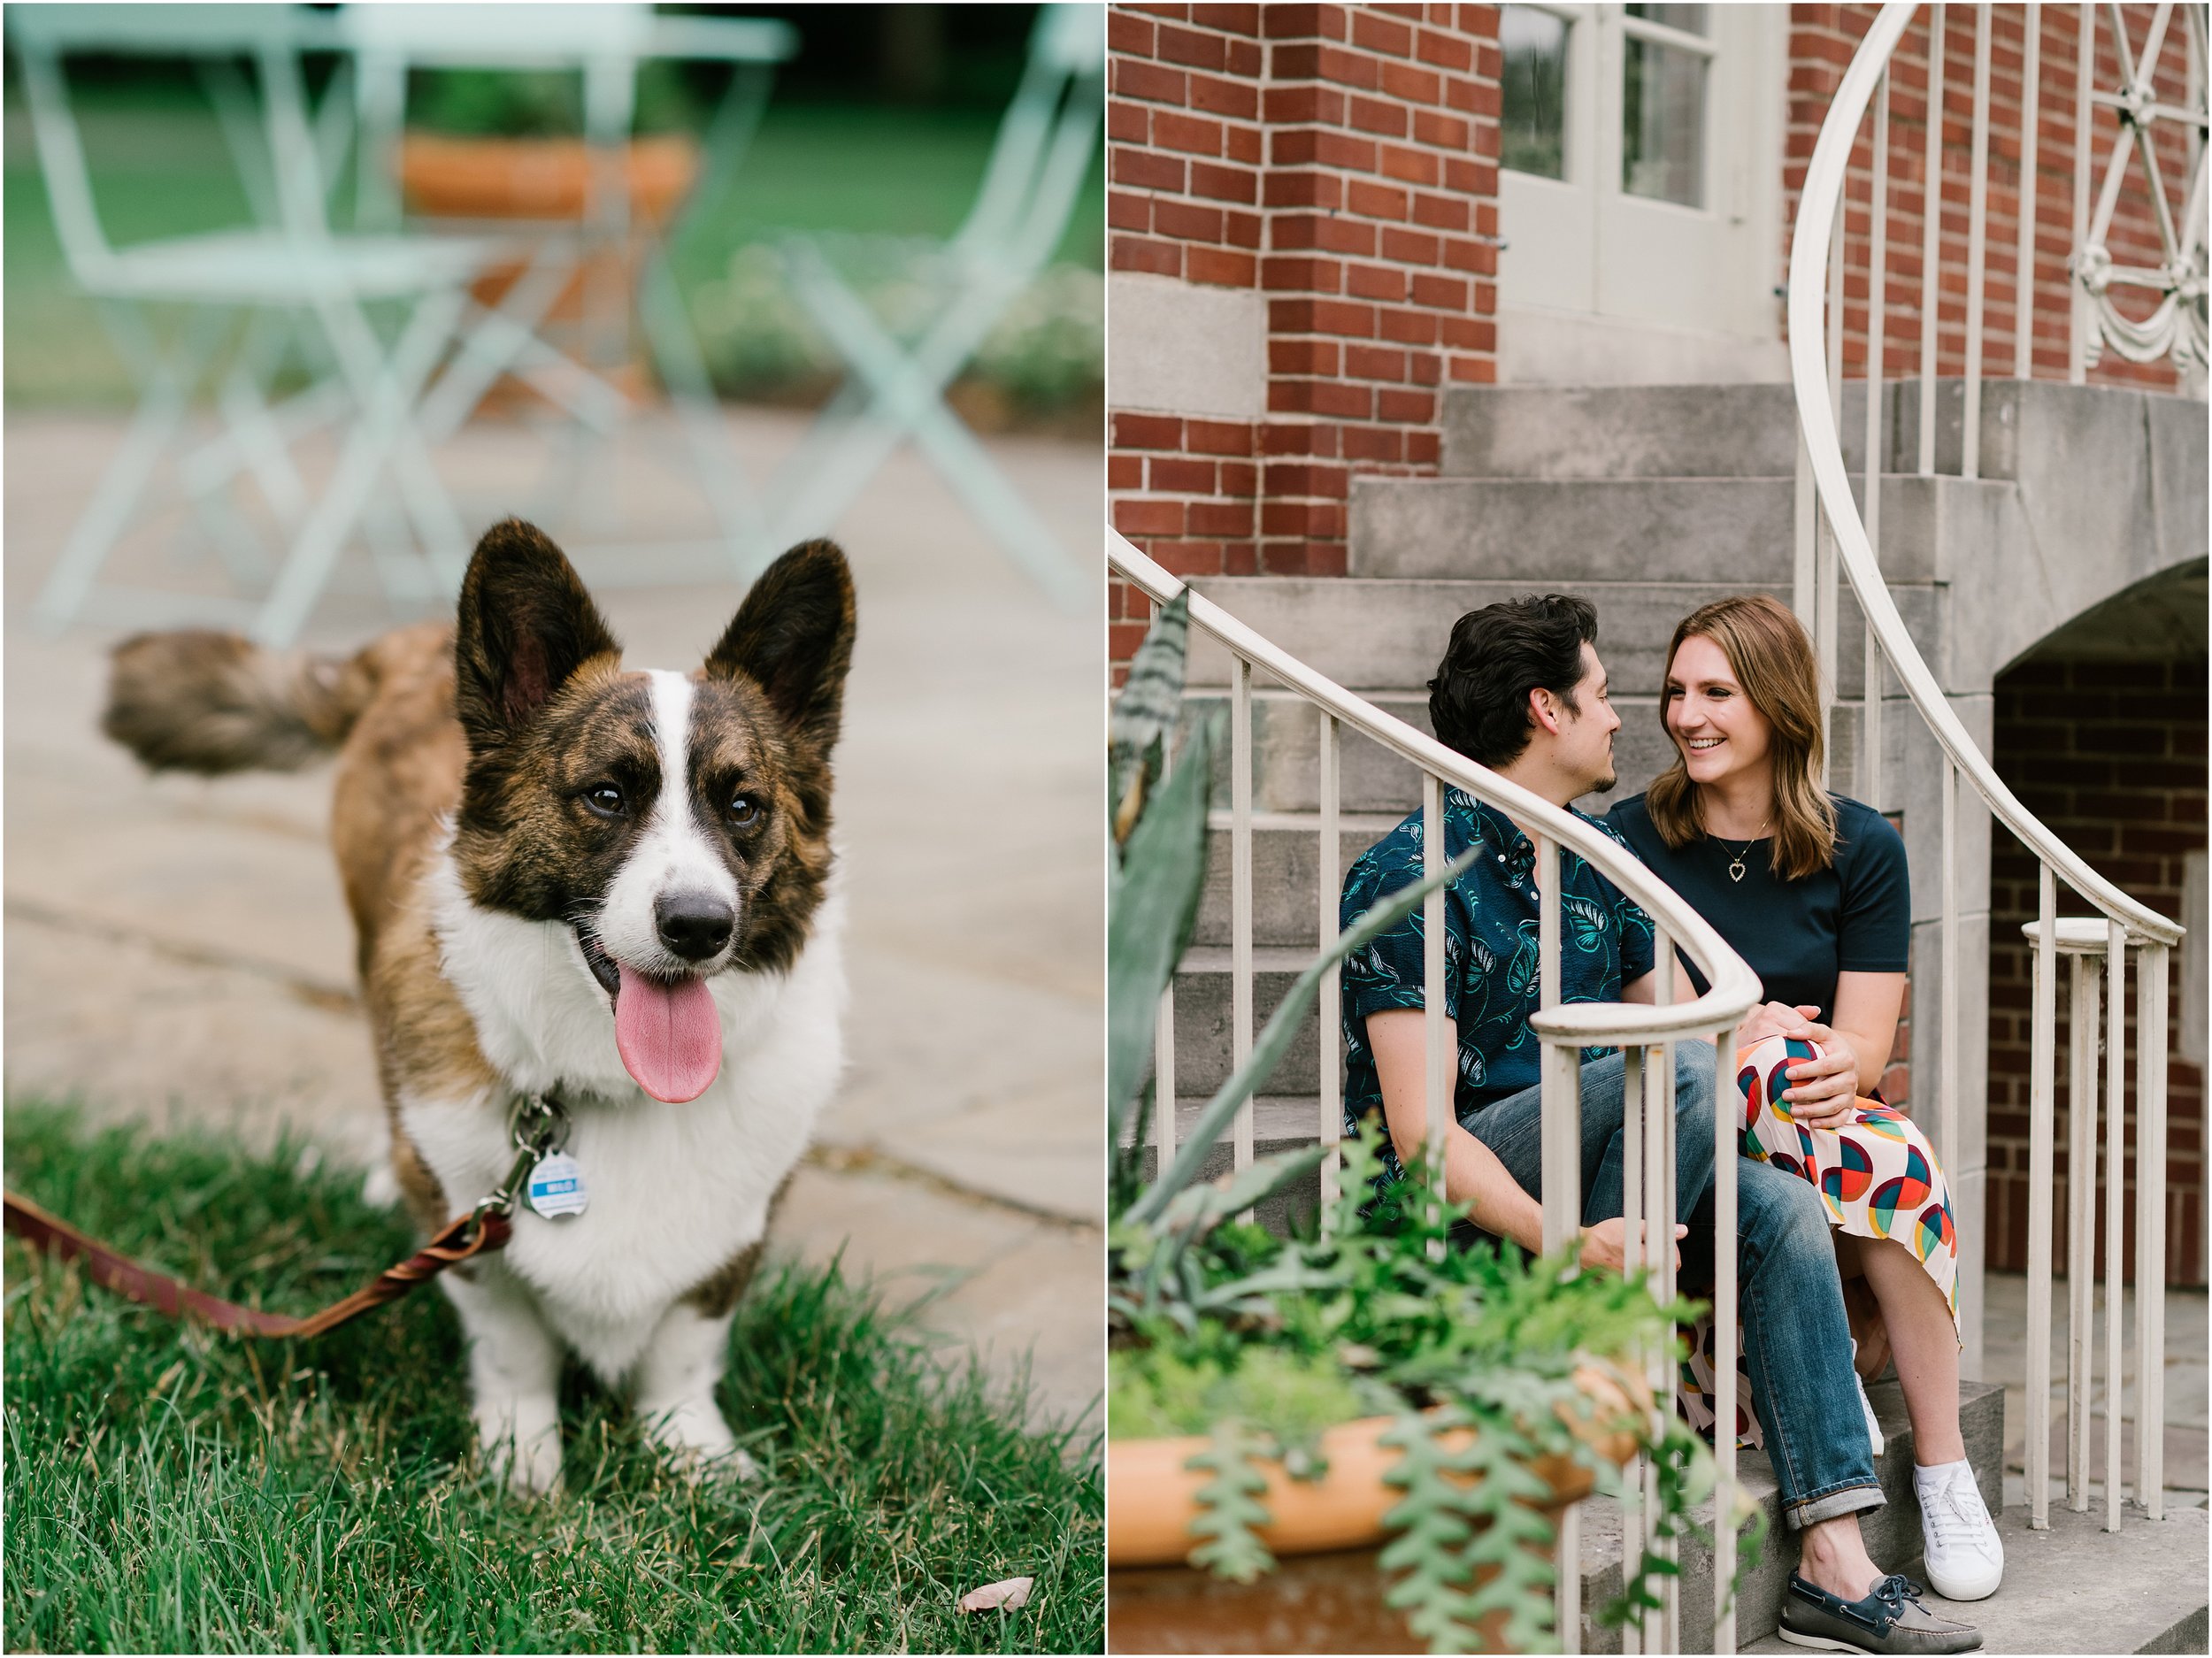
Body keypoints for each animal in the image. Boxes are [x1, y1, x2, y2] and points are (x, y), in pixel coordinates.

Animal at [107, 526, 858, 1503]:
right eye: (606, 795)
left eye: (743, 806)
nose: (699, 926)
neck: (608, 1085)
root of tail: (414, 644)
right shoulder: (473, 1232)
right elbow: (515, 1348)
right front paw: (522, 1460)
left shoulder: (734, 1233)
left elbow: (683, 1349)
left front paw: (694, 1456)